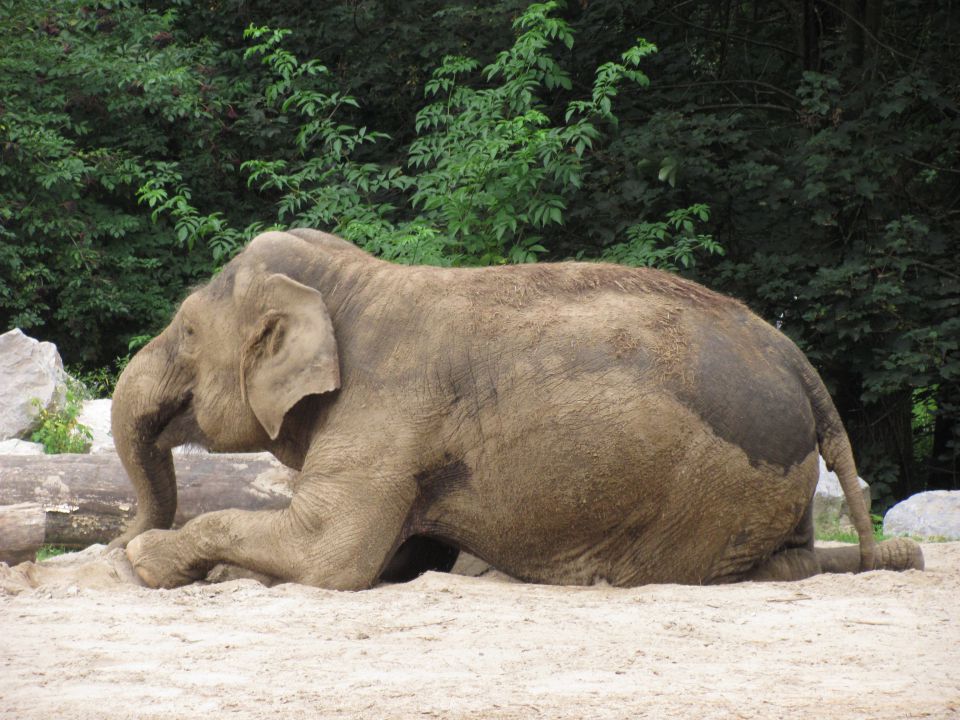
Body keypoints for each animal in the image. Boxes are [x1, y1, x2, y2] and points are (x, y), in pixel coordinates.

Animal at [110, 228, 924, 588]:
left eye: (186, 331)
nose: (117, 538)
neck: (351, 282)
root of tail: (794, 357)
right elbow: (401, 555)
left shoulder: (386, 407)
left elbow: (330, 556)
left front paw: (151, 562)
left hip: (713, 484)